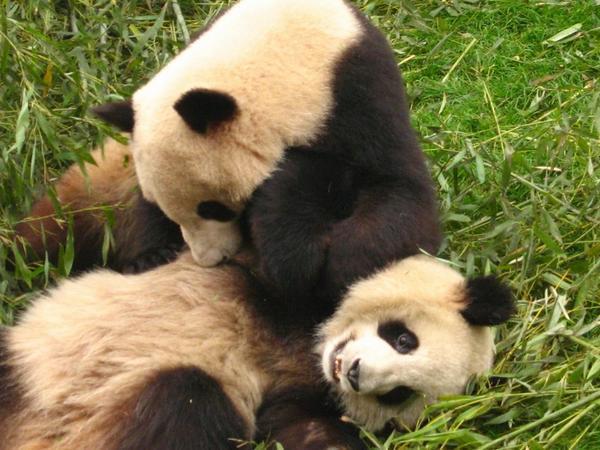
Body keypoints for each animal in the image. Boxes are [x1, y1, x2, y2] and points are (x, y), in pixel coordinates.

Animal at [0, 246, 516, 450]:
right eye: (404, 338)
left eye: (398, 395)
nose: (353, 372)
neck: (309, 349)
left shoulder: (298, 397)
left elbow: (306, 432)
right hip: (22, 358)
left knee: (185, 400)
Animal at [90, 0, 440, 318]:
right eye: (167, 210)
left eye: (211, 209)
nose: (209, 259)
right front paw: (151, 256)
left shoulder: (360, 99)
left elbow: (399, 196)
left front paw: (337, 271)